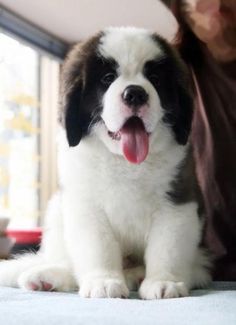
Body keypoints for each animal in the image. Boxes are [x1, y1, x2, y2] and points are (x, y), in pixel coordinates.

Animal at [0, 26, 211, 298]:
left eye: (154, 78)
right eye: (108, 78)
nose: (135, 93)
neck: (125, 162)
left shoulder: (177, 201)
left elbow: (167, 247)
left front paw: (164, 281)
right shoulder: (85, 204)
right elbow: (98, 247)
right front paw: (103, 281)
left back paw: (138, 274)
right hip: (57, 209)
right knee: (69, 263)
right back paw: (48, 276)